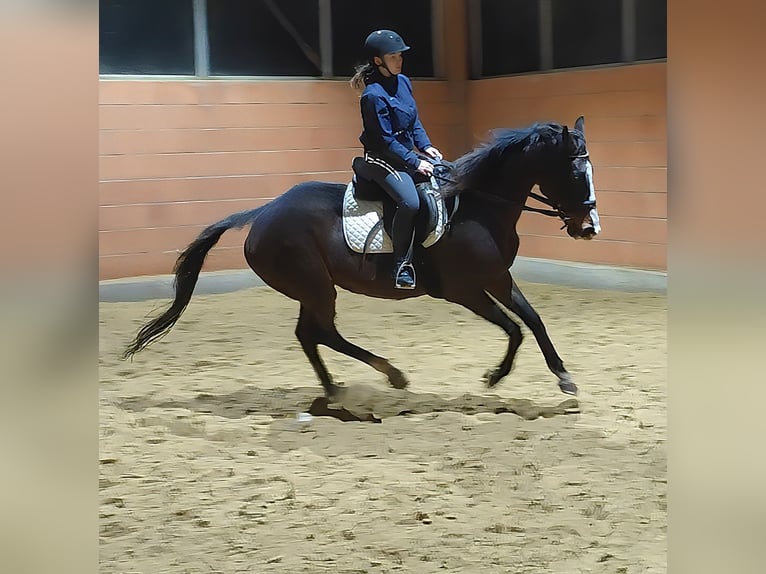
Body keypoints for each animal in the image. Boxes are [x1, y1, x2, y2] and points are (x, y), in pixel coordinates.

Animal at [123, 116, 600, 398]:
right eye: (576, 173)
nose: (589, 228)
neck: (478, 208)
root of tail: (263, 213)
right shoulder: (463, 290)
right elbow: (513, 327)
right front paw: (496, 377)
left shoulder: (498, 277)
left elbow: (532, 321)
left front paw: (562, 376)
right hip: (315, 285)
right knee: (322, 333)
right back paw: (389, 375)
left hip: (311, 287)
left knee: (309, 334)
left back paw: (334, 388)